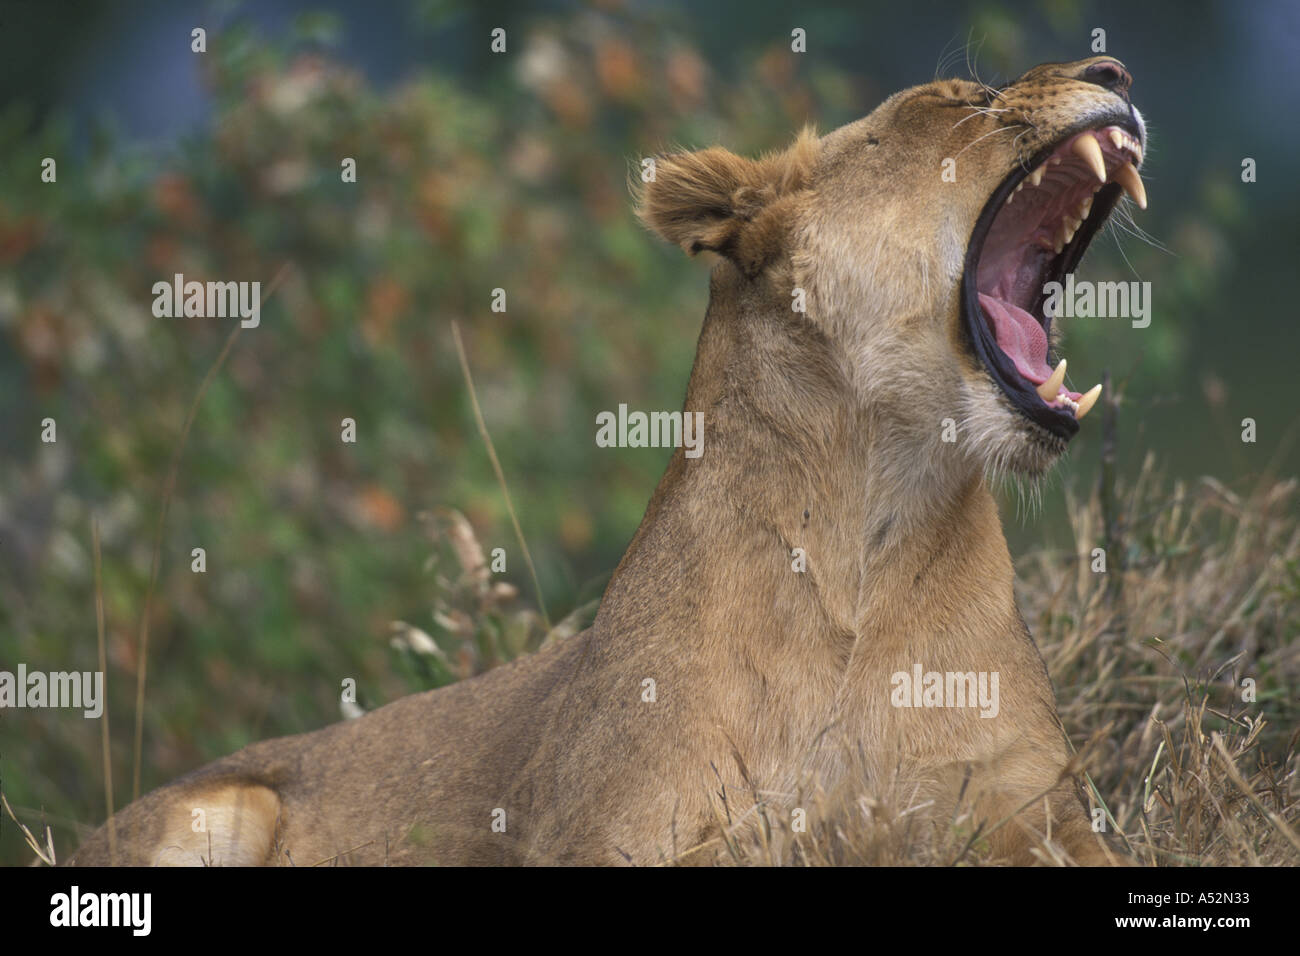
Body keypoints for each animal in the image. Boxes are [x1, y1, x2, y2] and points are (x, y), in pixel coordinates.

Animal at [69, 56, 1145, 866]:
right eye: (959, 100)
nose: (1114, 70)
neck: (868, 534)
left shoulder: (1038, 812)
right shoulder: (612, 837)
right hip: (222, 805)